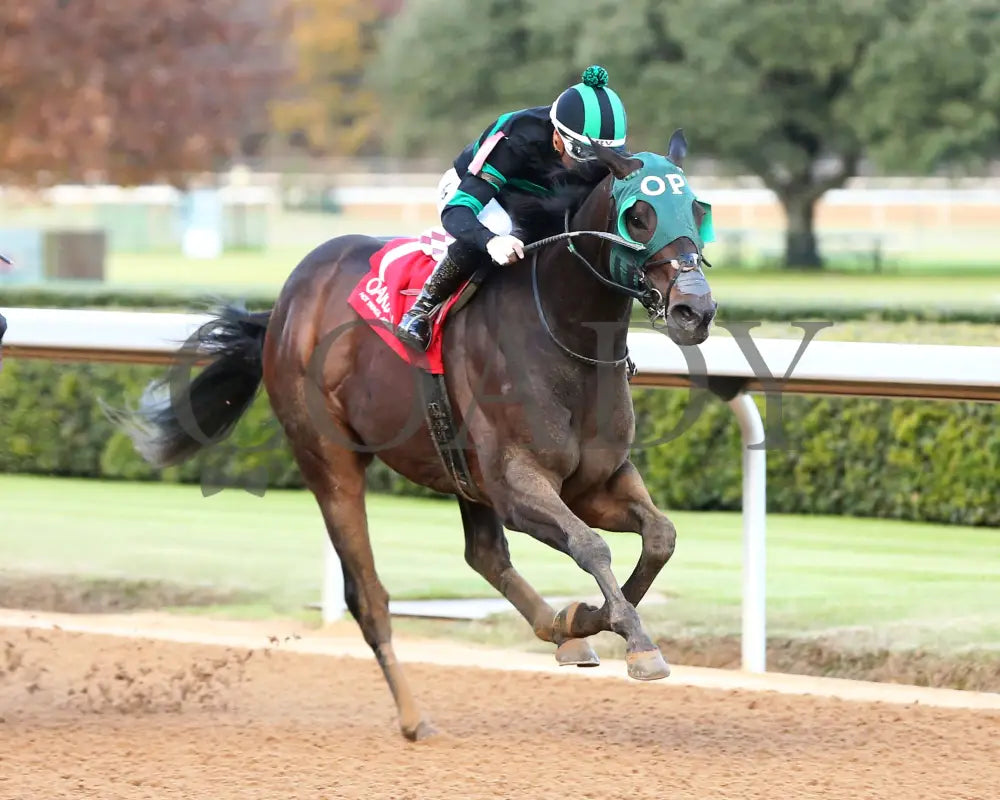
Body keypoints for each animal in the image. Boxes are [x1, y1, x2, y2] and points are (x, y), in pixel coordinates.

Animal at [113, 130, 716, 736]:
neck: (564, 335)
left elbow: (660, 537)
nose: (696, 309)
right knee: (368, 595)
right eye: (638, 215)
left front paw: (592, 618)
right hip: (330, 462)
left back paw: (560, 630)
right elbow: (591, 546)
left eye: (696, 209)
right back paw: (413, 716)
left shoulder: (596, 481)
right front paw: (633, 640)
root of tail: (284, 304)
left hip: (461, 470)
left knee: (484, 556)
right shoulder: (517, 484)